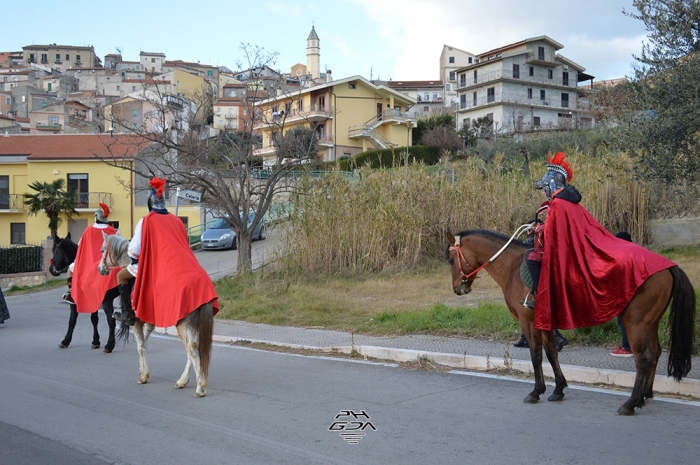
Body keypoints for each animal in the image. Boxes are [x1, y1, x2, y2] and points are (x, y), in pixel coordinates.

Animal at [446, 230, 696, 416]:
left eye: (450, 260)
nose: (458, 289)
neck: (513, 267)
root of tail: (666, 266)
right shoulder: (545, 323)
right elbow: (551, 353)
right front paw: (558, 388)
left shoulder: (528, 321)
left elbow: (536, 355)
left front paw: (536, 391)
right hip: (650, 323)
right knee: (654, 353)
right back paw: (645, 395)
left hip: (635, 323)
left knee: (642, 359)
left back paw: (631, 403)